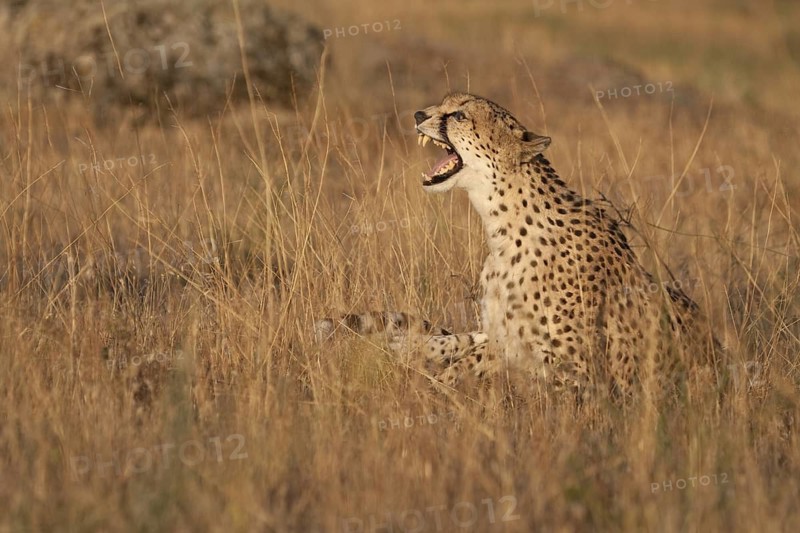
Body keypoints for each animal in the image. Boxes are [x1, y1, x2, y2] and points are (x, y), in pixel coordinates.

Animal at [316, 92, 723, 399]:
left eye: (459, 114)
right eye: (441, 103)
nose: (419, 114)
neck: (500, 222)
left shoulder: (583, 374)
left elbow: (490, 366)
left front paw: (431, 382)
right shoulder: (506, 337)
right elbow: (472, 353)